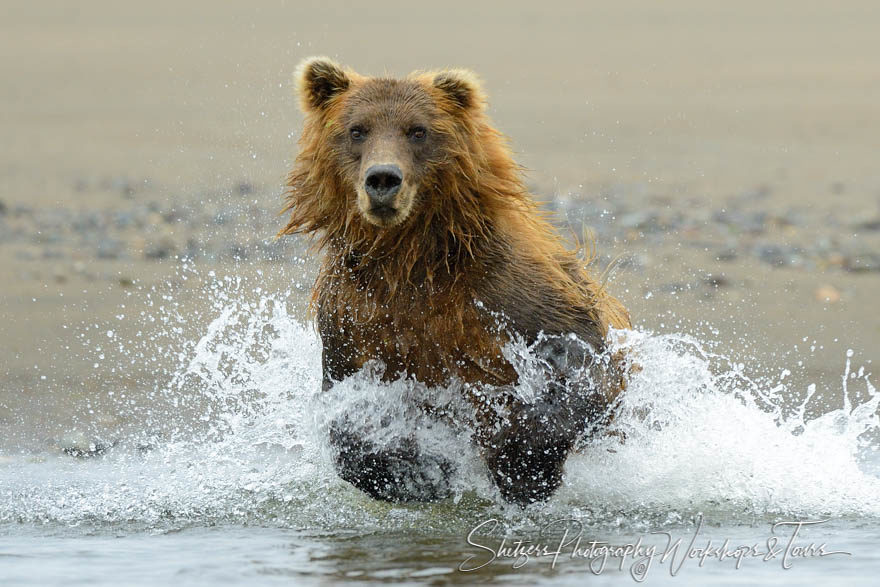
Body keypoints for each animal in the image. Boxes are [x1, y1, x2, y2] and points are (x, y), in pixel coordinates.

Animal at [278, 58, 628, 506]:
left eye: (418, 130)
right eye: (357, 129)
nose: (383, 179)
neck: (410, 262)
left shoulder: (510, 294)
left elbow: (584, 367)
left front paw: (524, 461)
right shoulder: (354, 316)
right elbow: (348, 407)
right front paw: (412, 470)